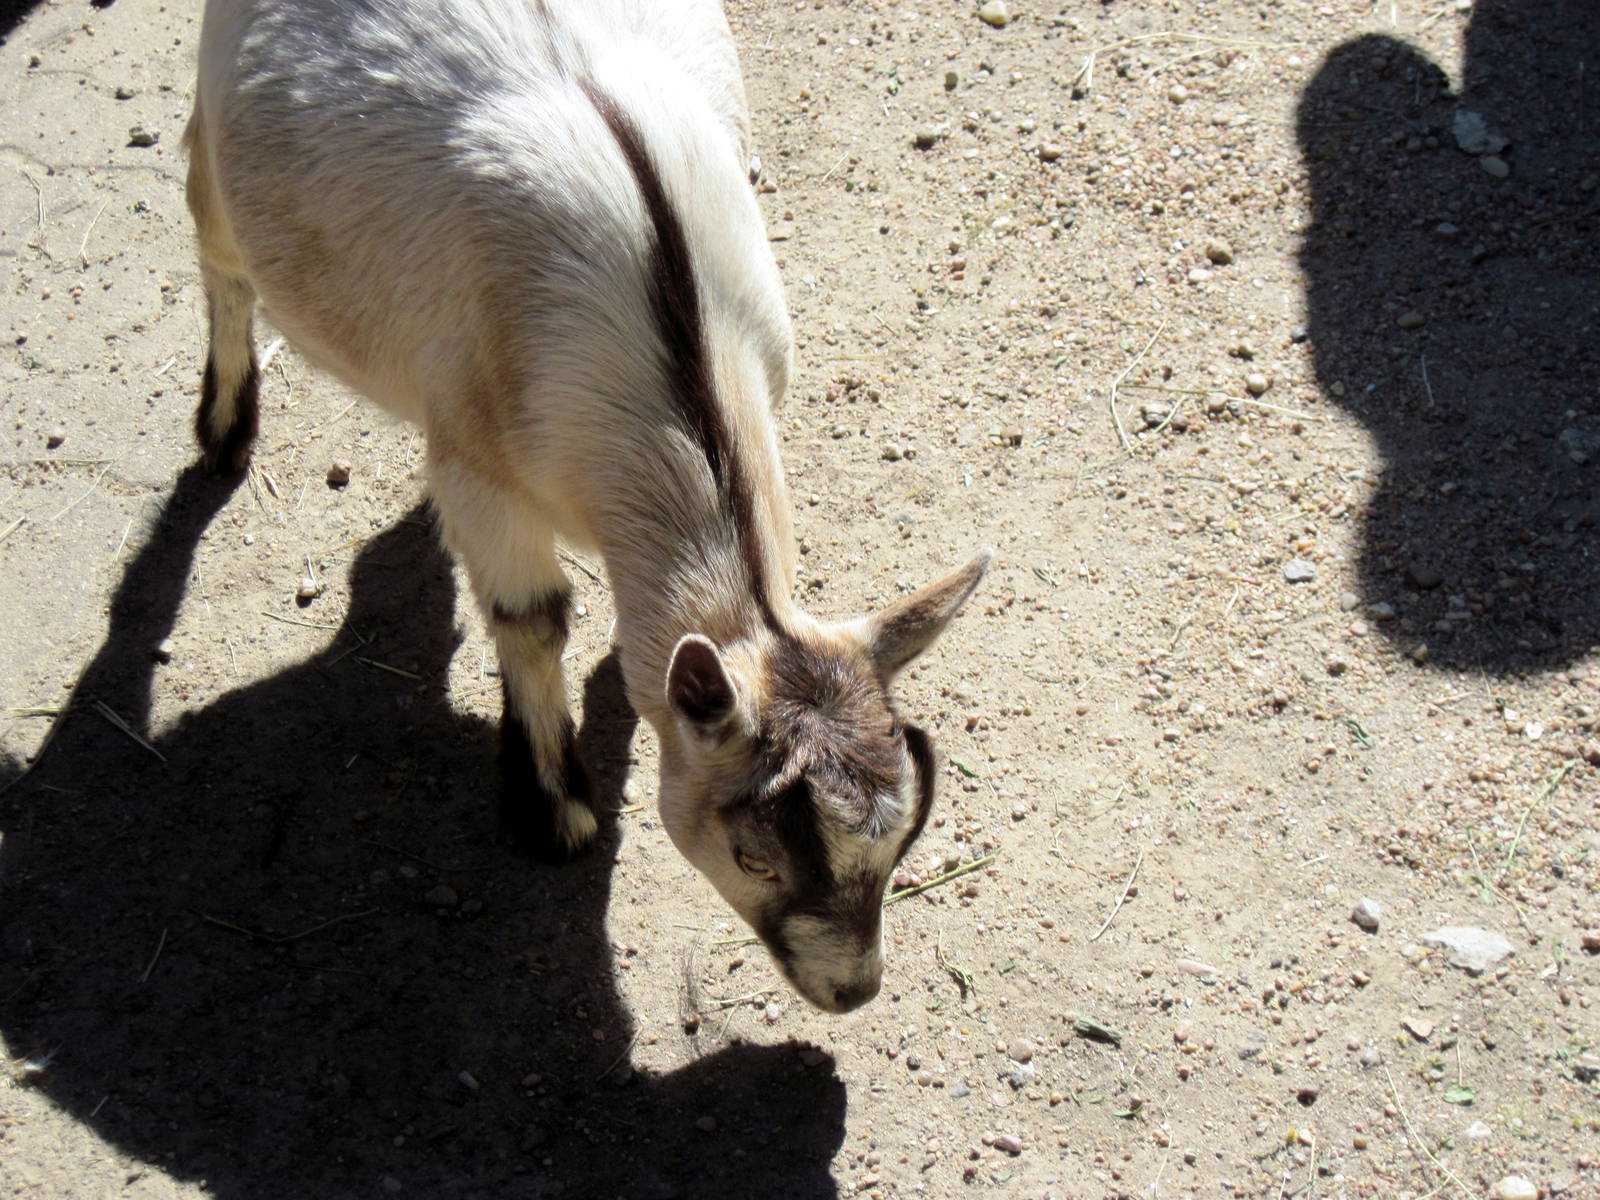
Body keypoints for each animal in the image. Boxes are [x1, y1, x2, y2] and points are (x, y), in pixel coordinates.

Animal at [184, 0, 989, 1013]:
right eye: (754, 857)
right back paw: (223, 430)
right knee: (216, 247)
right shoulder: (487, 473)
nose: (852, 991)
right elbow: (533, 616)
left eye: (904, 836)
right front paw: (557, 810)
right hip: (217, 147)